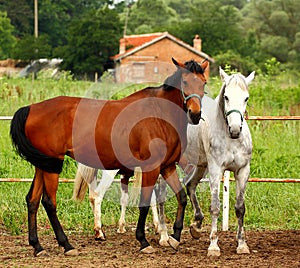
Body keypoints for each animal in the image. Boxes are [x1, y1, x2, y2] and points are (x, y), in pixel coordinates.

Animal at [11, 58, 209, 255]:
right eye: (185, 82)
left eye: (203, 83)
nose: (195, 114)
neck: (159, 114)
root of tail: (31, 108)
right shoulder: (151, 169)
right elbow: (145, 203)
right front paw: (143, 241)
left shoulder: (167, 167)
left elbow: (181, 197)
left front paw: (175, 238)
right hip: (53, 165)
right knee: (49, 202)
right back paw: (67, 244)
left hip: (43, 165)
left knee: (33, 200)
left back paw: (37, 246)